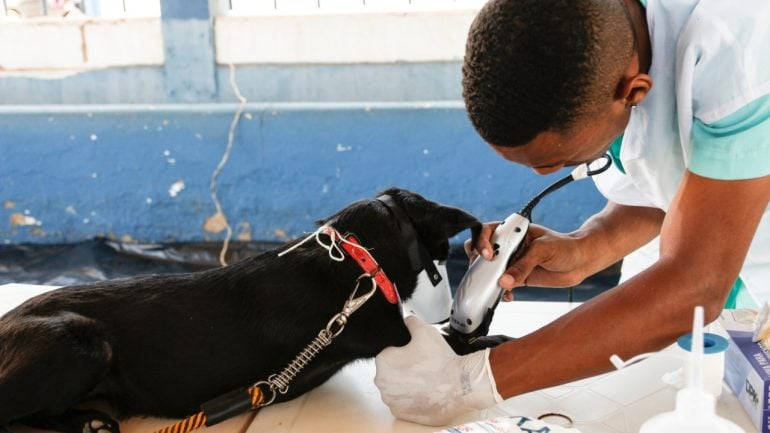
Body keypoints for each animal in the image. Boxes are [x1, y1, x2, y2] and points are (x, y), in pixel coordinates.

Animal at [0, 187, 508, 432]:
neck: (356, 258)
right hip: (81, 345)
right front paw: (494, 340)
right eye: (442, 250)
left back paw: (88, 421)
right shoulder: (391, 333)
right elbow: (458, 343)